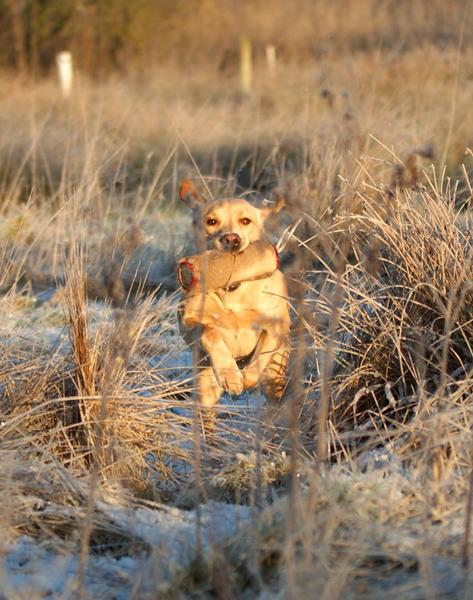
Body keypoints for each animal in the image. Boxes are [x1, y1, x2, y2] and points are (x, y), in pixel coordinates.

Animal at [177, 180, 290, 410]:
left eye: (245, 220)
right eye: (211, 221)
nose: (231, 238)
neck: (233, 287)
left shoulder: (275, 325)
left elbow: (259, 361)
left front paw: (244, 379)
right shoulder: (188, 321)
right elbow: (208, 330)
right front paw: (230, 375)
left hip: (276, 377)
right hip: (206, 390)